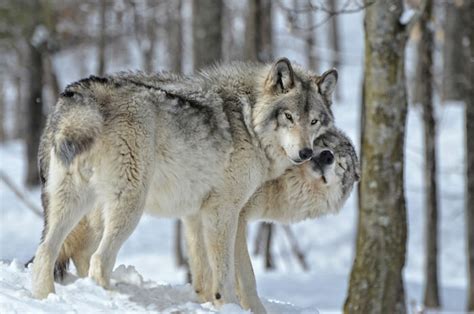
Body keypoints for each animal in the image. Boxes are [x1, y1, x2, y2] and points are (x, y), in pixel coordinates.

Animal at [31, 57, 338, 308]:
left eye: (313, 121)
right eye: (288, 117)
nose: (306, 153)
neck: (248, 120)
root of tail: (79, 93)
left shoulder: (197, 214)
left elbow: (208, 275)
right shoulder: (222, 212)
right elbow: (225, 274)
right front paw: (227, 304)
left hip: (74, 203)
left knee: (46, 251)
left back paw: (46, 299)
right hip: (129, 206)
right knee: (98, 261)